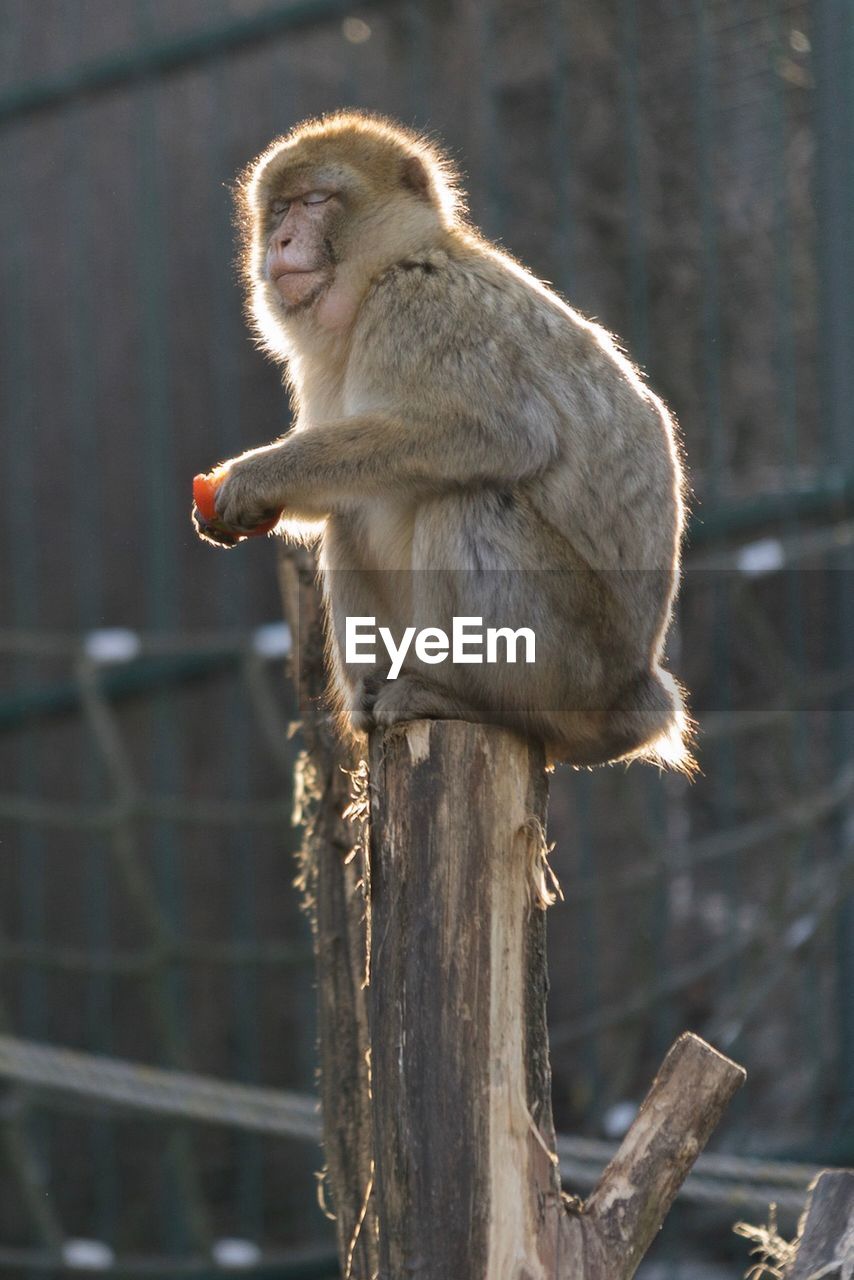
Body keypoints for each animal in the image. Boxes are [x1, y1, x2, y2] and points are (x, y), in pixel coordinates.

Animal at [198, 112, 696, 768]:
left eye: (316, 201)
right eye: (279, 209)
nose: (280, 241)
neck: (385, 271)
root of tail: (635, 693)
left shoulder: (419, 303)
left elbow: (501, 434)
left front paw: (254, 476)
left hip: (572, 668)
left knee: (468, 503)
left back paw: (459, 697)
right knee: (351, 513)